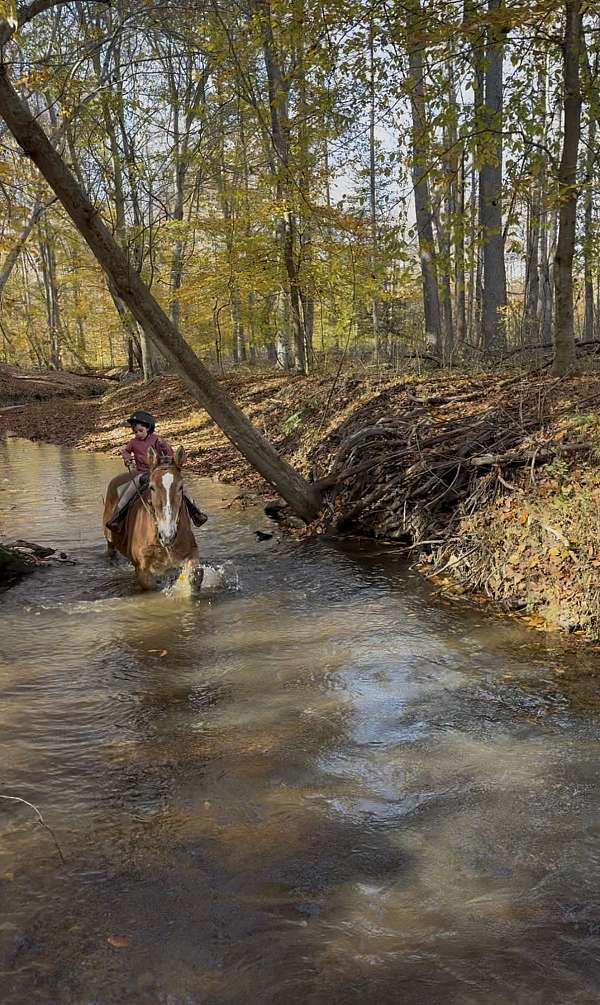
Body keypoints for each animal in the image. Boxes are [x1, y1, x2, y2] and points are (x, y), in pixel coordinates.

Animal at [102, 445, 200, 589]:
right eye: (152, 487)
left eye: (181, 486)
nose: (168, 535)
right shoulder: (142, 570)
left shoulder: (191, 552)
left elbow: (195, 576)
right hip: (109, 537)